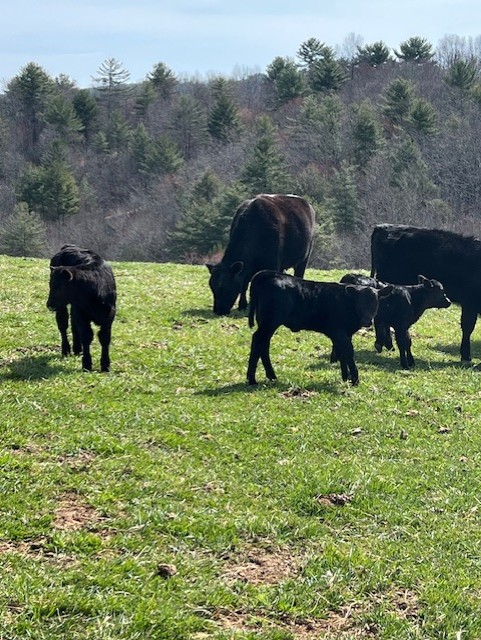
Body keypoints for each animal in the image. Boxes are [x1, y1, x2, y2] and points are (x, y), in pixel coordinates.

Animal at [246, 270, 380, 386]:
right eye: (360, 302)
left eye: (375, 303)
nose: (366, 321)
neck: (347, 302)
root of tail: (270, 273)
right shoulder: (338, 331)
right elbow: (348, 351)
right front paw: (355, 379)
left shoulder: (345, 333)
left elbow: (342, 353)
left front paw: (345, 377)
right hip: (270, 321)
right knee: (258, 340)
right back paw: (252, 379)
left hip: (266, 323)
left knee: (264, 344)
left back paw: (271, 376)